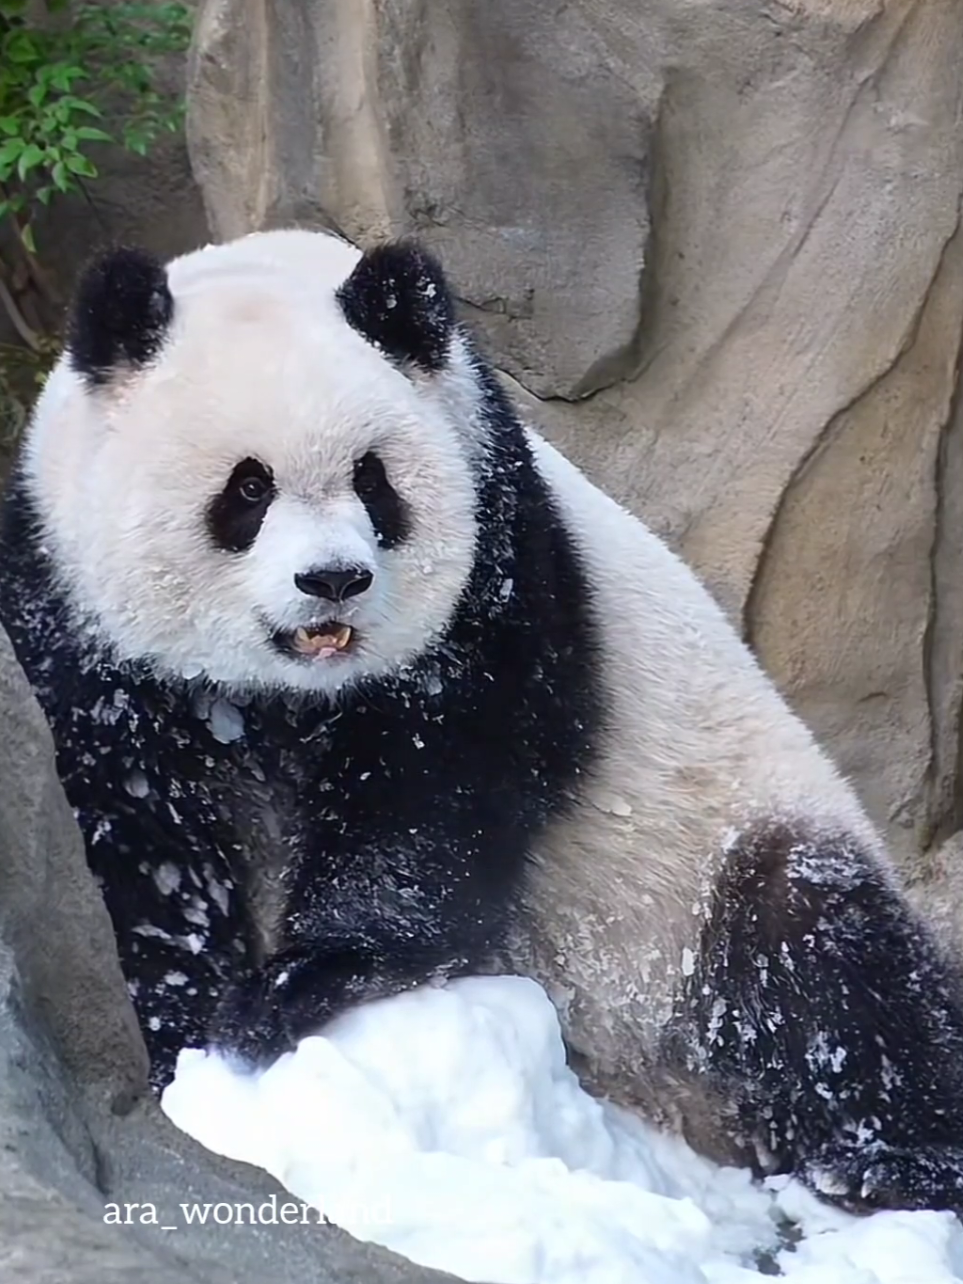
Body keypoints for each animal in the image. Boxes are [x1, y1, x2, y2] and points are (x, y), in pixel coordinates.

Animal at [3, 226, 963, 1220]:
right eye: (248, 489)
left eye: (373, 482)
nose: (334, 579)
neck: (289, 690)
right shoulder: (70, 602)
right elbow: (137, 821)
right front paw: (182, 1021)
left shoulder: (498, 553)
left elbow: (438, 778)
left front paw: (299, 982)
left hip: (713, 862)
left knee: (826, 969)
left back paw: (889, 1165)